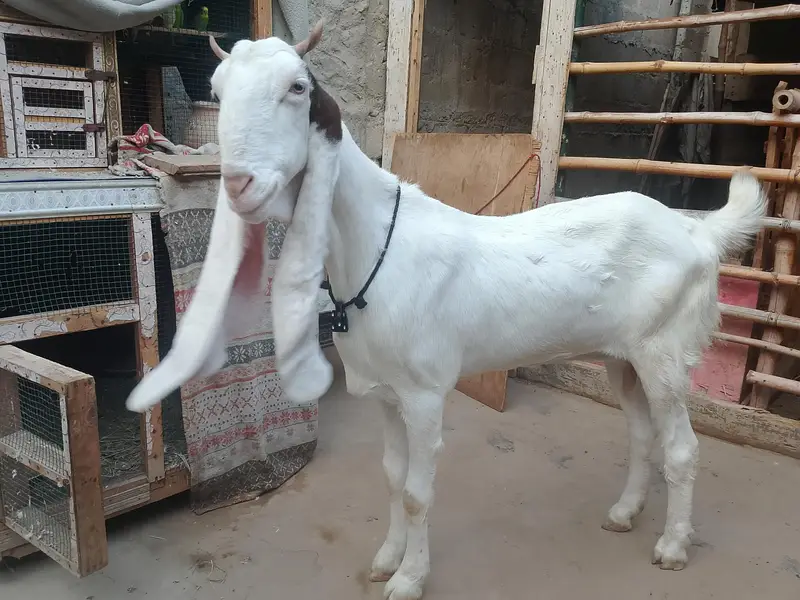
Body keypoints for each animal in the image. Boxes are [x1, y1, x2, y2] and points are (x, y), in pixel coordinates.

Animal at [126, 22, 767, 600]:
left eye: (297, 87)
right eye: (218, 88)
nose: (238, 184)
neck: (372, 249)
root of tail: (698, 231)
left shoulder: (424, 392)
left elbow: (416, 491)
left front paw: (410, 578)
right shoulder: (384, 391)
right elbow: (390, 477)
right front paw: (386, 558)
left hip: (664, 350)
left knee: (681, 447)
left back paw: (673, 546)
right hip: (622, 354)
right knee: (640, 431)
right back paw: (625, 512)